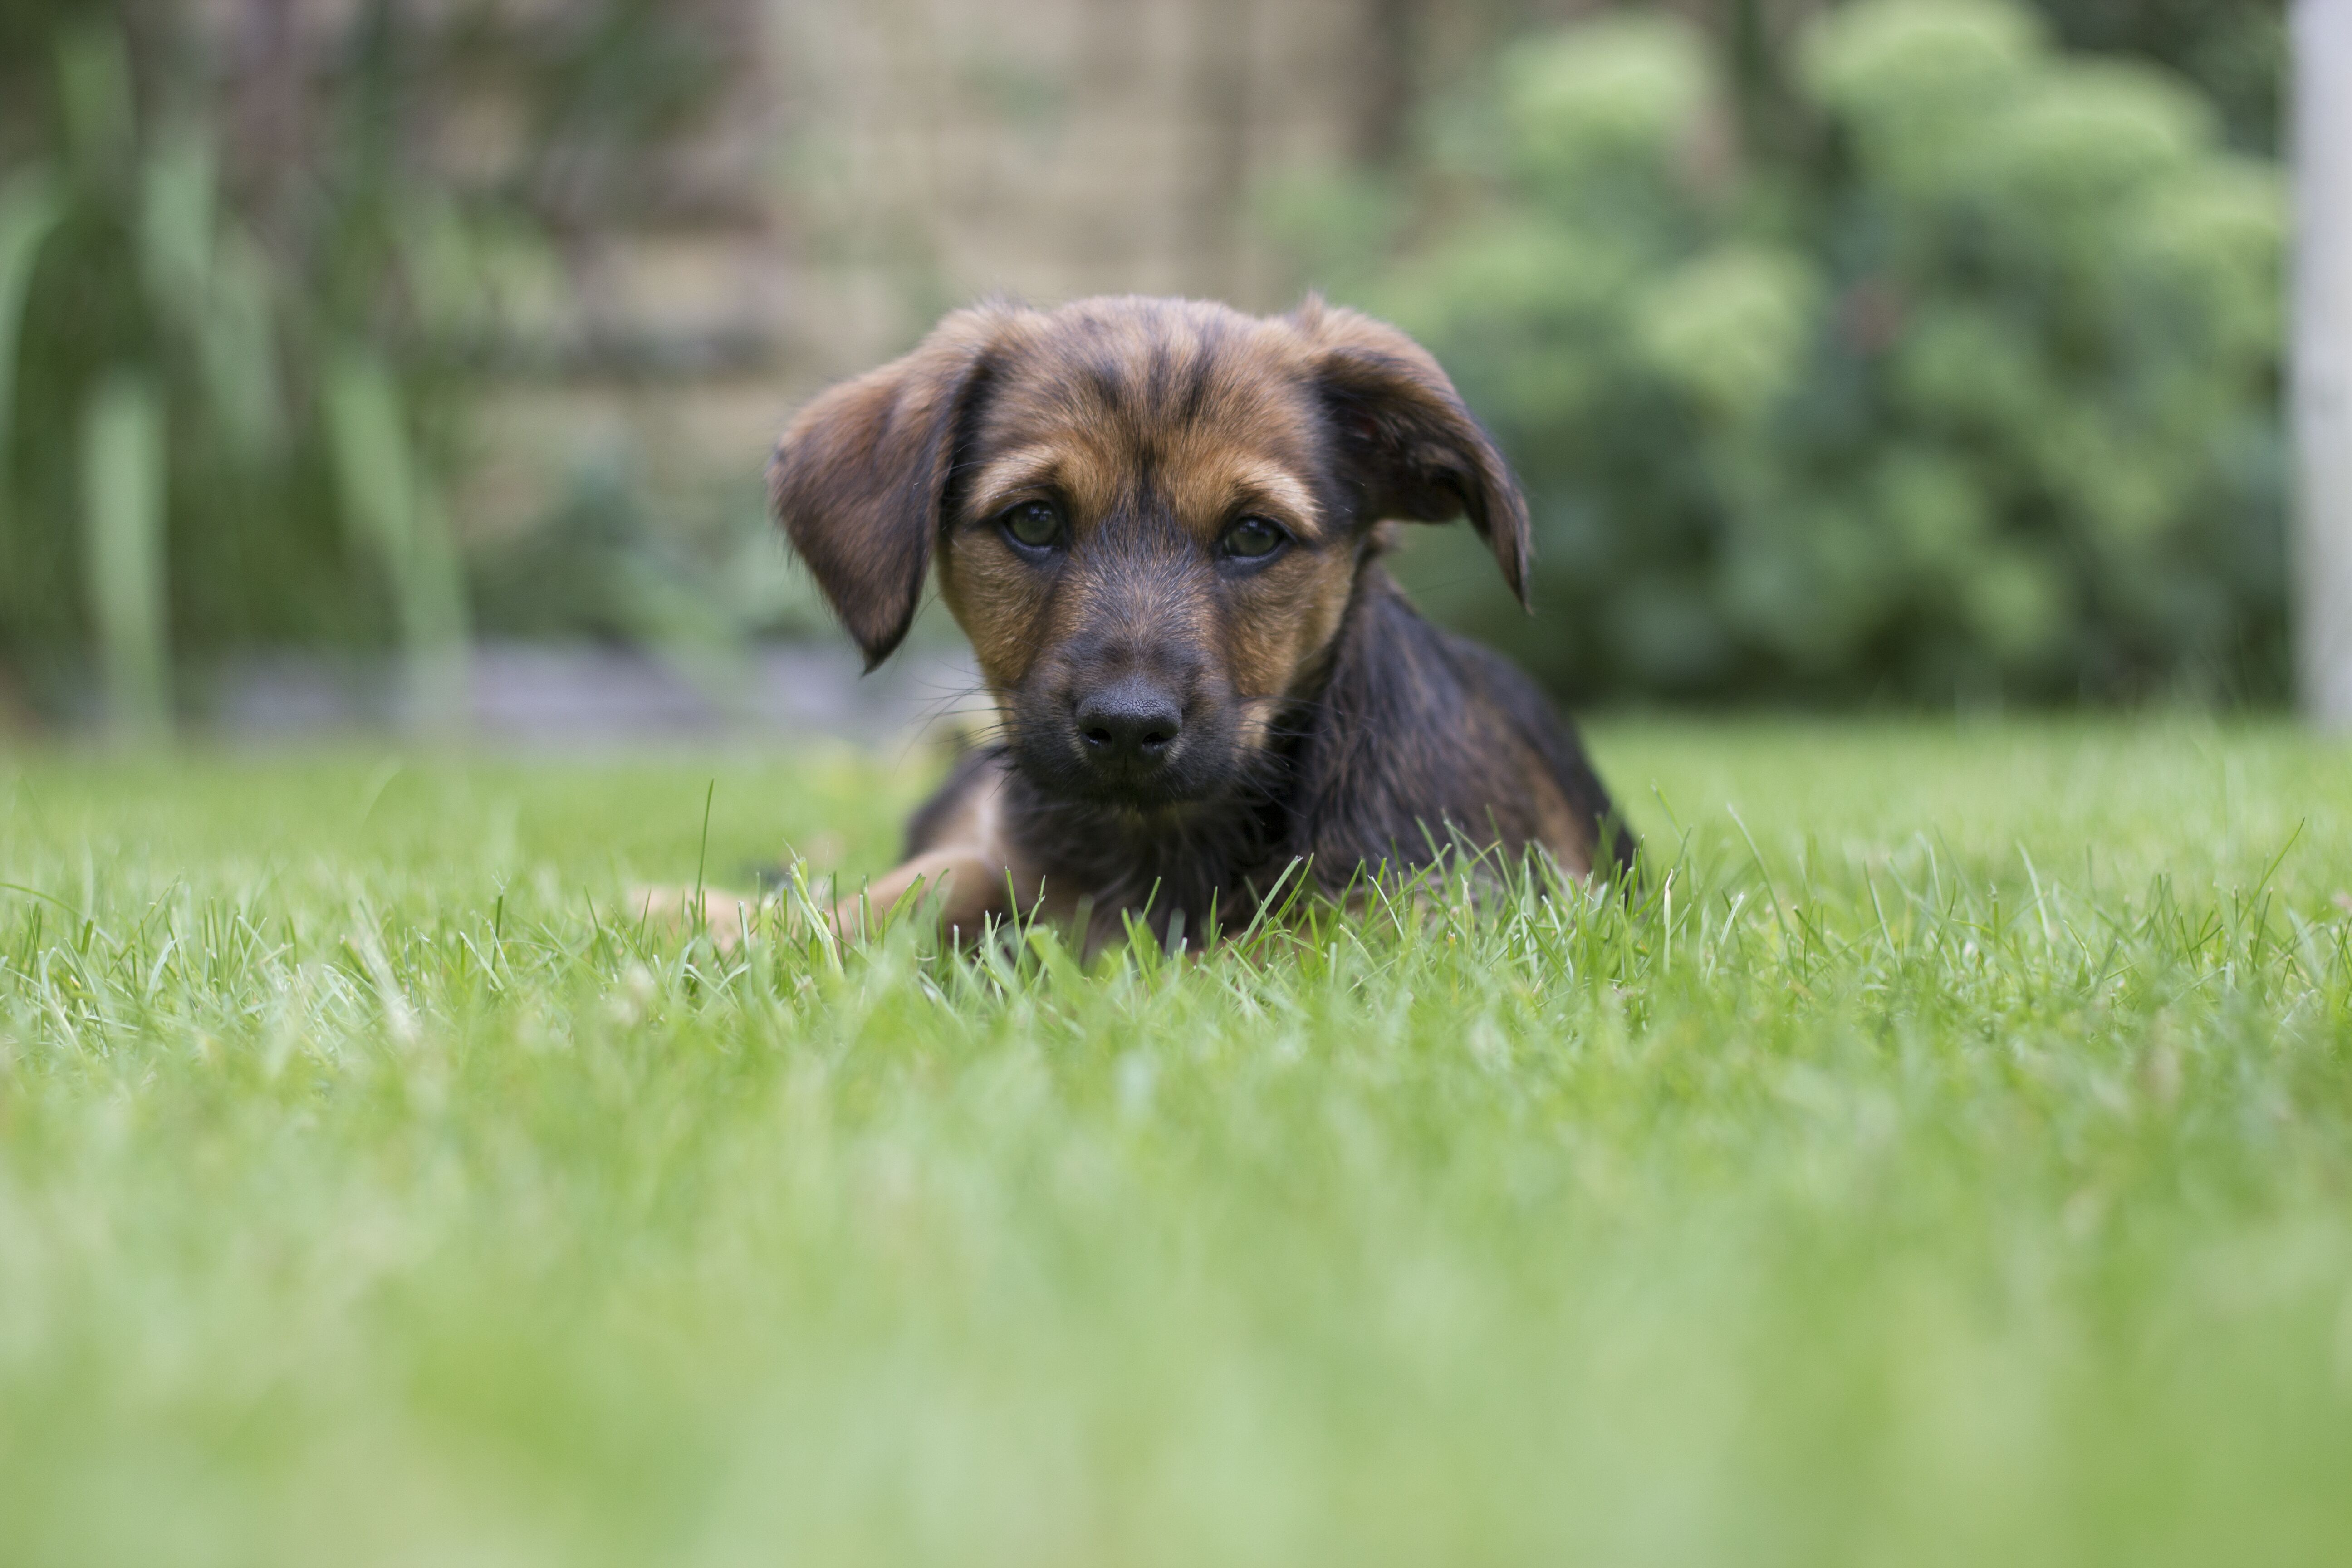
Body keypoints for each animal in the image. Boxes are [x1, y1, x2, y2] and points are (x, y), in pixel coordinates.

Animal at [771, 294, 1637, 950]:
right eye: (1033, 521)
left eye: (1254, 536)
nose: (1128, 727)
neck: (1162, 841)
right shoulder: (992, 859)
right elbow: (878, 907)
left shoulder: (1436, 909)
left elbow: (1251, 956)